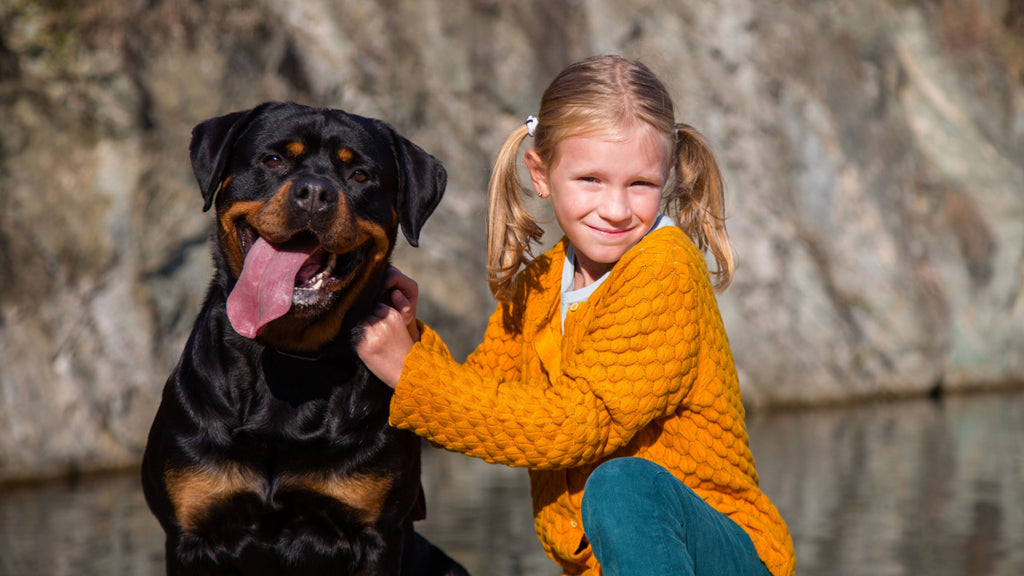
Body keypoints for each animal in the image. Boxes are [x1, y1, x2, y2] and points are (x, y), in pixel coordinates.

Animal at [141, 103, 468, 573]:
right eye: (274, 159)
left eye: (360, 175)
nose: (314, 192)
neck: (288, 358)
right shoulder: (190, 534)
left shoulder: (378, 535)